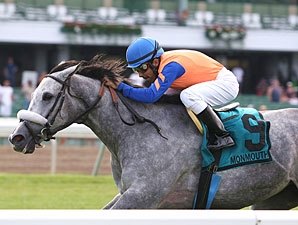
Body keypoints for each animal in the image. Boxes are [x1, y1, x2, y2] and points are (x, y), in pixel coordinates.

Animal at [8, 55, 298, 209]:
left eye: (47, 95)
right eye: (33, 93)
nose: (17, 137)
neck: (138, 132)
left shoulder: (143, 195)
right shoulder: (131, 194)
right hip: (275, 198)